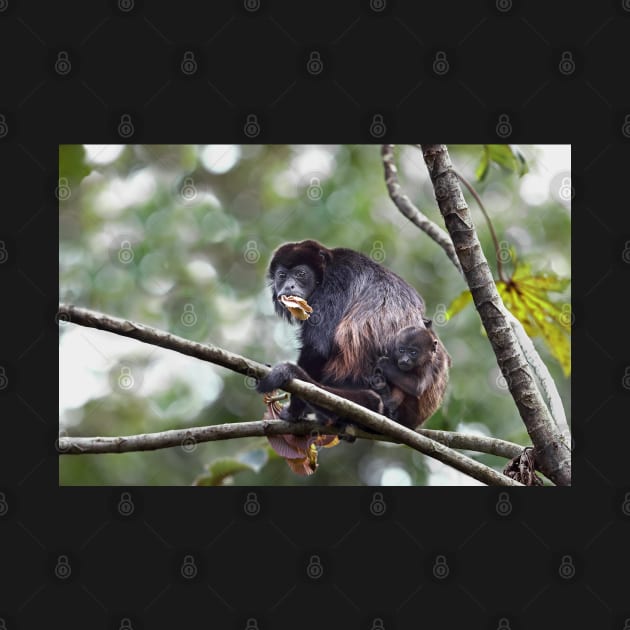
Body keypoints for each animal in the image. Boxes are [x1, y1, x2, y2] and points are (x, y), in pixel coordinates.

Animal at [256, 241, 430, 424]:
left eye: (301, 274)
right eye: (282, 275)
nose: (289, 286)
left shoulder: (335, 282)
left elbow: (317, 348)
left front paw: (294, 411)